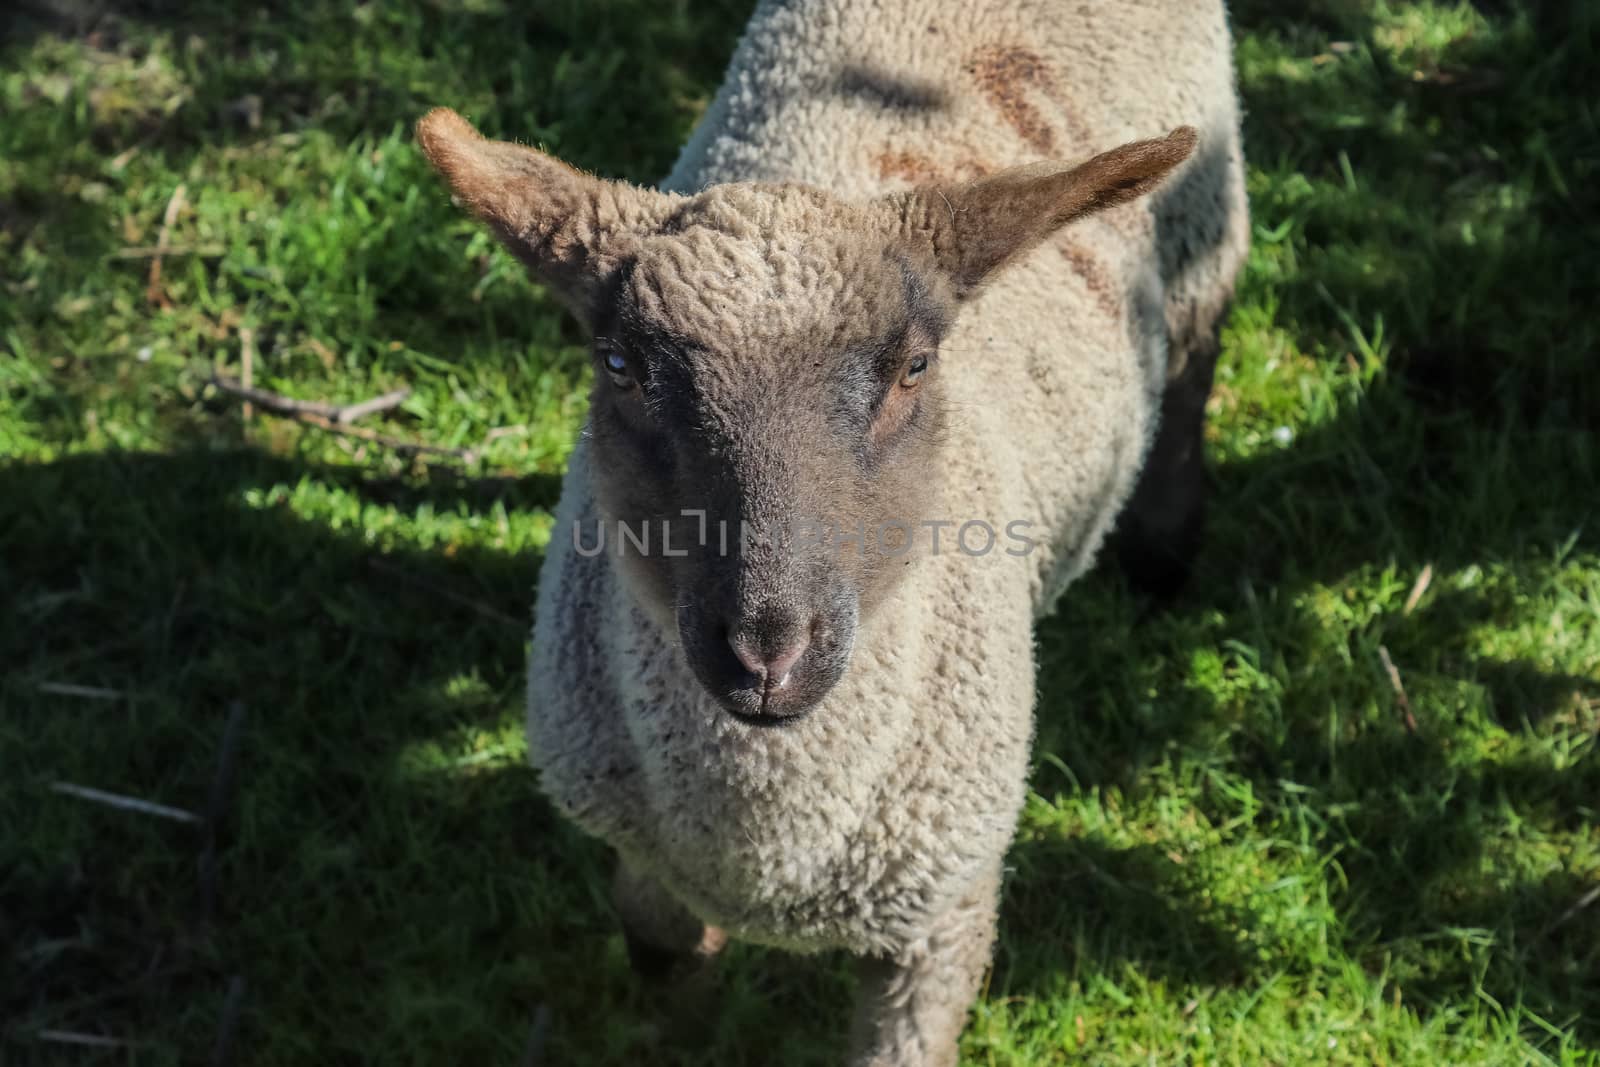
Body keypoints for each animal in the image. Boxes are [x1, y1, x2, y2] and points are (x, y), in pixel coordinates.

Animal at [419, 0, 1241, 1062]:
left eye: (916, 368)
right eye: (619, 366)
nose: (767, 647)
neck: (767, 847)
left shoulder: (943, 908)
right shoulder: (644, 850)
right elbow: (662, 957)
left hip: (1204, 219)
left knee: (1193, 362)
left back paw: (1163, 556)